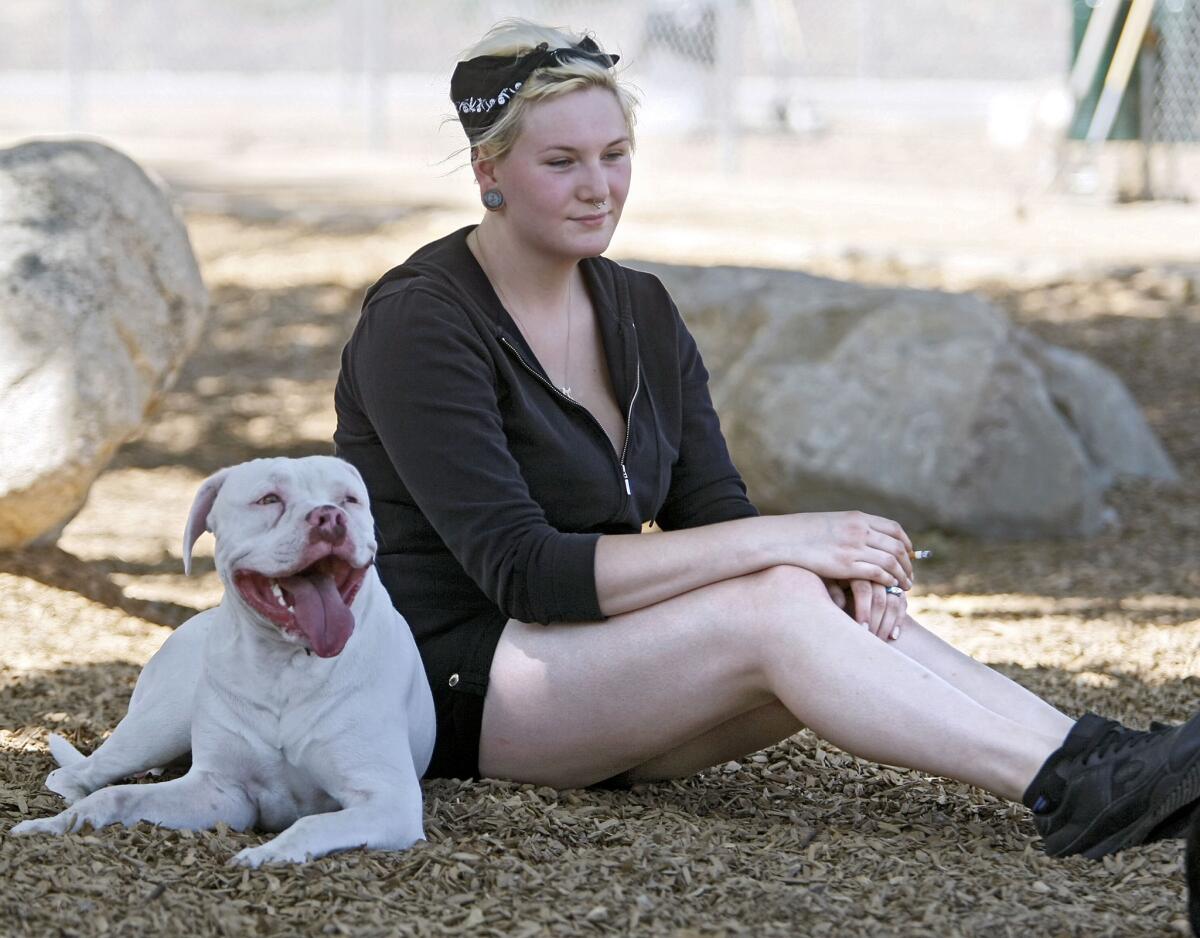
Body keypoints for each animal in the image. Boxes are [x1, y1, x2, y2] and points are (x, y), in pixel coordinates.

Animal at [10, 458, 436, 868]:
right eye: (268, 499)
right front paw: (59, 823)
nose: (330, 517)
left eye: (349, 499)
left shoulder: (389, 801)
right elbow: (116, 797)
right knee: (83, 774)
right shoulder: (222, 790)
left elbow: (310, 823)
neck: (284, 662)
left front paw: (267, 854)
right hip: (159, 724)